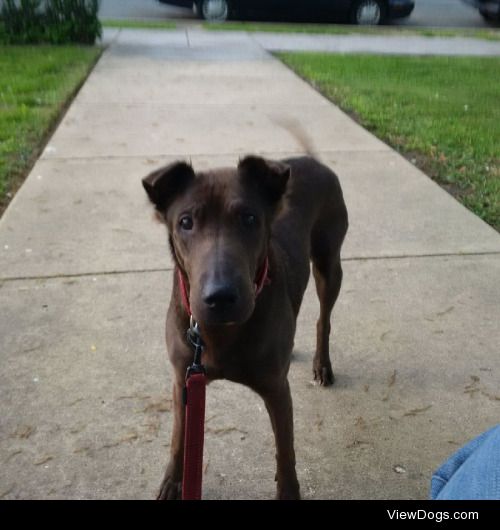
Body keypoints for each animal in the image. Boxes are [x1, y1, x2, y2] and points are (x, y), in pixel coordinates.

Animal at [143, 154, 348, 500]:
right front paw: (172, 483)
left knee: (324, 318)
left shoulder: (277, 391)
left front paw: (288, 492)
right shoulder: (183, 380)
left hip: (329, 262)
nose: (221, 296)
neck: (220, 333)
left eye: (250, 218)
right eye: (185, 222)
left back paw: (322, 364)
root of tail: (311, 159)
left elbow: (286, 452)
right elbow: (179, 438)